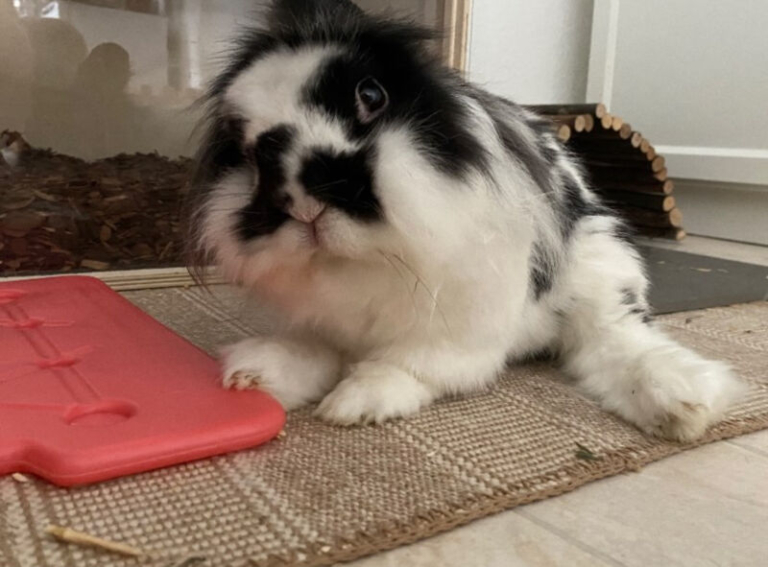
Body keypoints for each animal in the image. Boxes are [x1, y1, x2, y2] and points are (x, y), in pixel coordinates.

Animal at [187, 0, 744, 441]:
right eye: (249, 152)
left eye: (371, 96)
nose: (303, 202)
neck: (368, 259)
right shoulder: (319, 319)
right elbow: (313, 352)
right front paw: (255, 373)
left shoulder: (453, 324)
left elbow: (411, 365)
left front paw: (357, 403)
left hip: (601, 270)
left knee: (616, 340)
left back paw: (682, 404)